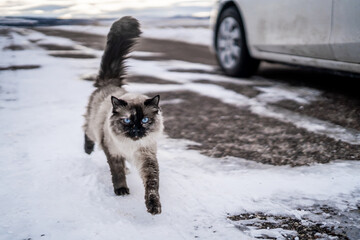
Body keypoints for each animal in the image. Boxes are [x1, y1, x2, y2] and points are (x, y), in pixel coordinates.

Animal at [83, 16, 163, 216]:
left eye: (145, 120)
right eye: (127, 120)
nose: (136, 130)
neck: (130, 146)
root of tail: (110, 82)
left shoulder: (146, 156)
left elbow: (152, 185)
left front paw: (153, 206)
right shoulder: (113, 152)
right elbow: (117, 173)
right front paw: (121, 191)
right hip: (93, 128)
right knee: (86, 131)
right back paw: (87, 150)